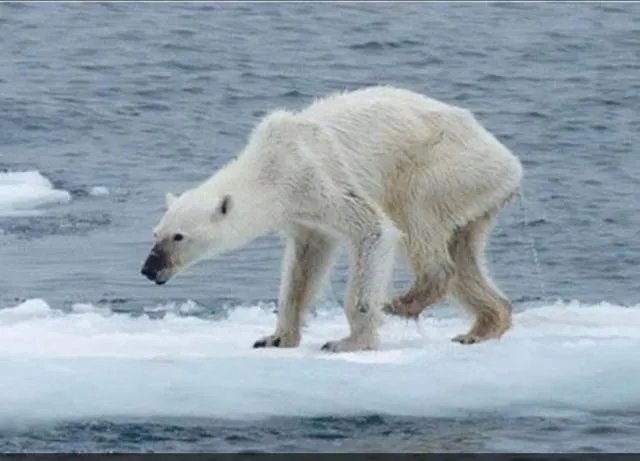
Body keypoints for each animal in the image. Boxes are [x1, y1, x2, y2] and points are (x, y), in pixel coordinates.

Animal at [141, 86, 522, 352]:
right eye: (155, 233)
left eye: (179, 237)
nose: (149, 269)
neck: (271, 166)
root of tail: (510, 162)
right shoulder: (302, 215)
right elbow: (303, 267)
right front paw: (275, 337)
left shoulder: (318, 178)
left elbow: (374, 230)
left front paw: (348, 341)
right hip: (475, 194)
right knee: (464, 253)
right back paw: (482, 327)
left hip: (447, 166)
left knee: (417, 214)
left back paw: (403, 301)